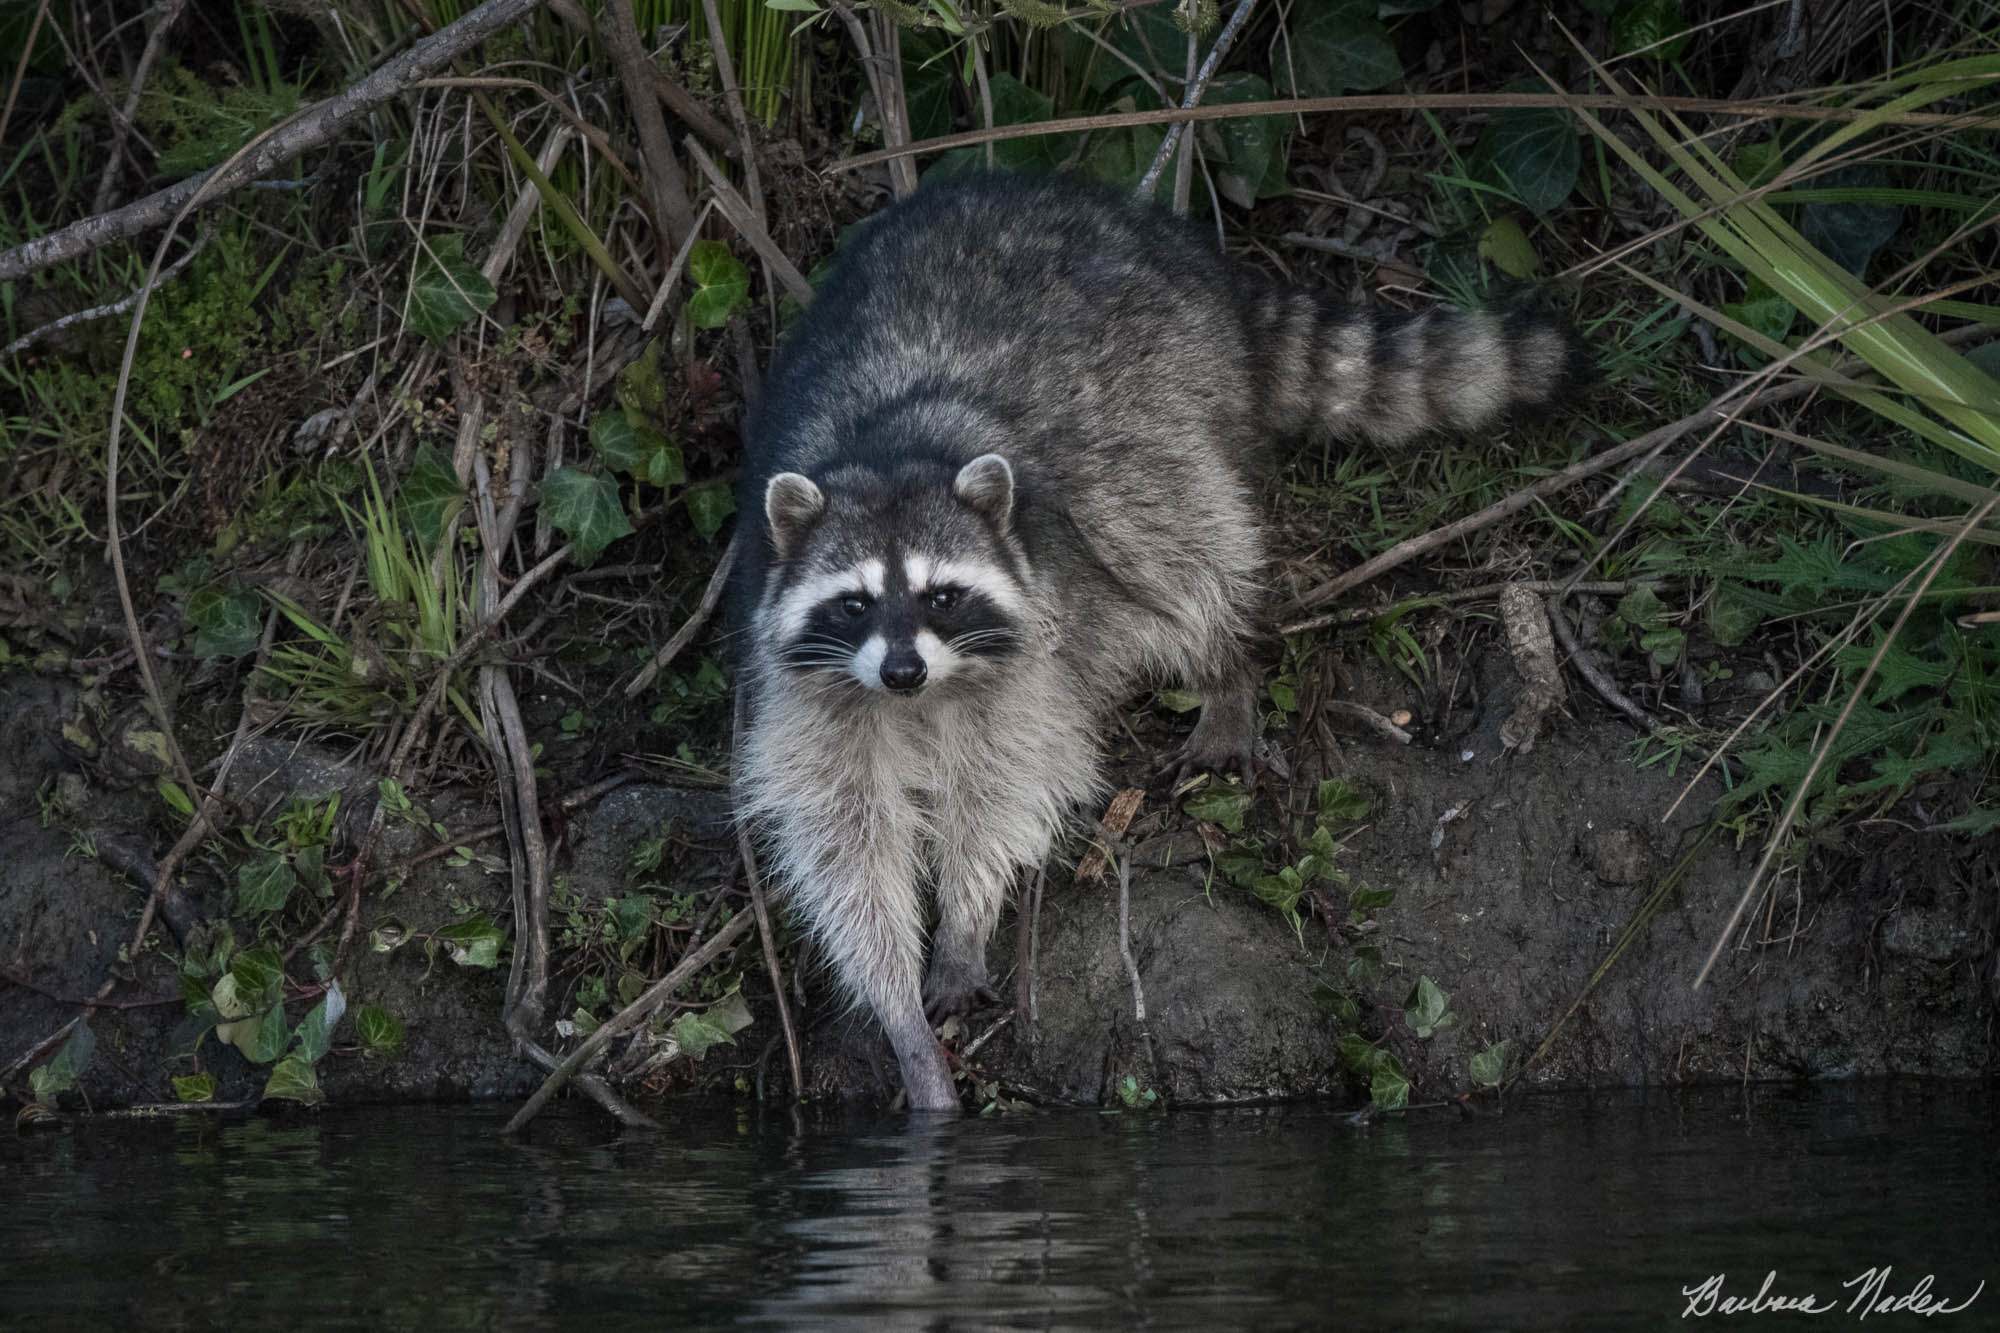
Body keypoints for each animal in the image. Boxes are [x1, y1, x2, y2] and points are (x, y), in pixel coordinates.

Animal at [728, 176, 1584, 1112]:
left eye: (941, 595)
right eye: (853, 605)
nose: (904, 670)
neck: (889, 450)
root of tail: (1127, 218)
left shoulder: (1033, 646)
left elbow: (1005, 785)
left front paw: (965, 917)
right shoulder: (816, 695)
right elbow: (847, 842)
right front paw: (898, 1013)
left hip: (1161, 401)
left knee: (1186, 542)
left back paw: (1226, 667)